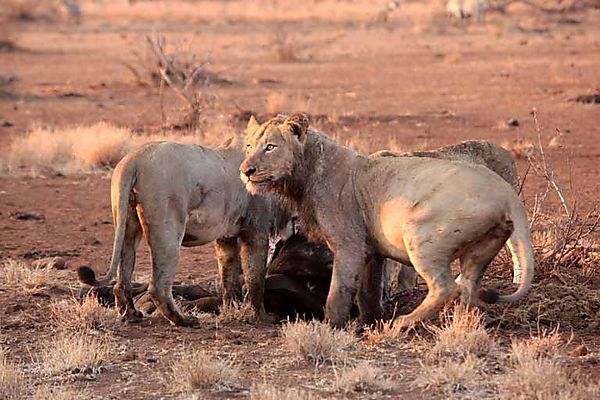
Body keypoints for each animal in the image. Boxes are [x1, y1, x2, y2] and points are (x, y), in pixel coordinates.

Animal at [78, 139, 288, 326]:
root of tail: (134, 159)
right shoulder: (256, 231)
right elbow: (255, 278)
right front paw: (264, 318)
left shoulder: (226, 237)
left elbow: (229, 276)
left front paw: (232, 310)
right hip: (169, 230)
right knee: (158, 286)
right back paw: (184, 321)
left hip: (127, 223)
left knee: (122, 277)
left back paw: (131, 315)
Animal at [239, 112, 536, 328]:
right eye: (249, 146)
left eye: (270, 147)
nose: (246, 170)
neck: (305, 173)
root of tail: (506, 193)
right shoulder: (372, 251)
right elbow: (367, 292)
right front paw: (368, 322)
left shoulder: (349, 245)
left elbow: (338, 292)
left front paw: (330, 326)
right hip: (481, 248)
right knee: (468, 288)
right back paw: (455, 323)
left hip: (420, 234)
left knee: (446, 287)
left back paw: (404, 323)